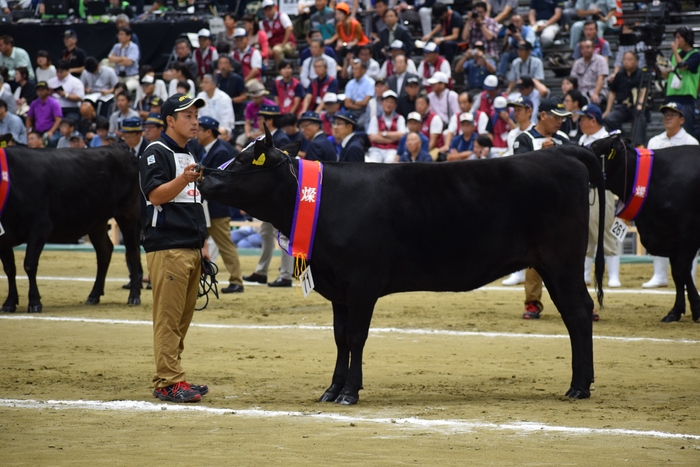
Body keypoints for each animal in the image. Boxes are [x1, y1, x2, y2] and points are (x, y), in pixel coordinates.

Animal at [0, 145, 144, 314]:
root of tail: (120, 148)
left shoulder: (40, 226)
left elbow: (29, 264)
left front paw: (34, 302)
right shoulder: (4, 238)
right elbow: (9, 269)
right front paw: (9, 303)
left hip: (128, 213)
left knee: (133, 252)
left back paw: (134, 296)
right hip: (97, 221)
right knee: (104, 251)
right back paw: (94, 295)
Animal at [198, 128, 608, 406]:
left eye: (244, 160)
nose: (202, 175)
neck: (322, 201)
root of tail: (566, 153)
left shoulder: (362, 284)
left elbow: (356, 337)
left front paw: (349, 392)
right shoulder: (339, 290)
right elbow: (339, 338)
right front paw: (331, 389)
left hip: (562, 261)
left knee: (578, 312)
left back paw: (579, 386)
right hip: (553, 265)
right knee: (576, 314)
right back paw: (580, 383)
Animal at [592, 135, 700, 324]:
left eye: (594, 148)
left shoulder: (689, 231)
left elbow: (682, 268)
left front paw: (696, 308)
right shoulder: (670, 235)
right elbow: (677, 273)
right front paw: (675, 312)